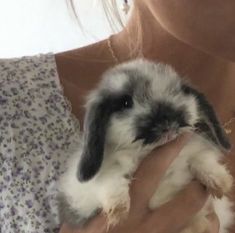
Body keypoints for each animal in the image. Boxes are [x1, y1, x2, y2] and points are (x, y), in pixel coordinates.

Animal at [58, 59, 233, 232]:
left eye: (176, 92)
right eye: (126, 102)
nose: (166, 119)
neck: (148, 151)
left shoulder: (196, 151)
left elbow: (201, 159)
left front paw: (221, 182)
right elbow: (110, 177)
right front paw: (118, 210)